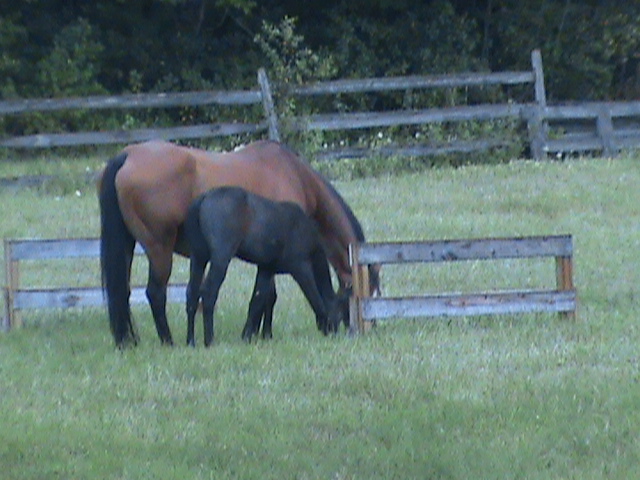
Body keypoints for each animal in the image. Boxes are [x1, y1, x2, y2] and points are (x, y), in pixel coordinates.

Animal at [185, 186, 346, 346]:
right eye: (339, 314)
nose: (337, 333)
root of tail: (204, 197)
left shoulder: (266, 269)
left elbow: (257, 301)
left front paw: (247, 336)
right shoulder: (301, 269)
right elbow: (316, 299)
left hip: (198, 258)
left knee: (192, 294)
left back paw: (191, 341)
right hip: (220, 259)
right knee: (208, 293)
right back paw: (210, 340)